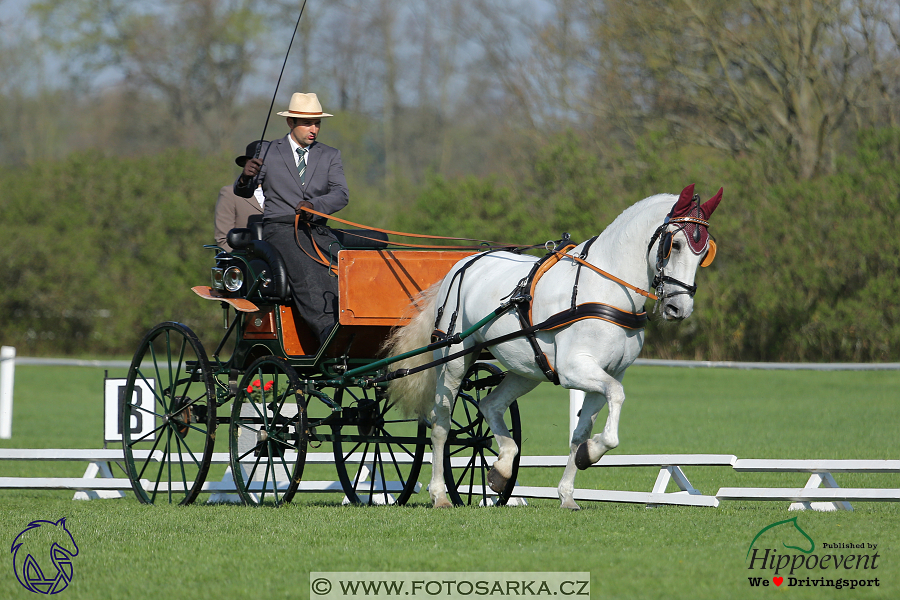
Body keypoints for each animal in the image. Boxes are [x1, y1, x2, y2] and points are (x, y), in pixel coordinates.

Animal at [386, 185, 724, 508]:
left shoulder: (608, 372)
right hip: (455, 358)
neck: (605, 289)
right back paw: (440, 494)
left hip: (526, 368)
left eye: (704, 252)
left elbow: (581, 431)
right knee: (440, 423)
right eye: (674, 245)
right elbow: (616, 396)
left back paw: (502, 468)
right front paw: (591, 454)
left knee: (491, 404)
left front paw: (569, 489)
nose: (679, 308)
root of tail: (466, 262)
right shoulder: (575, 370)